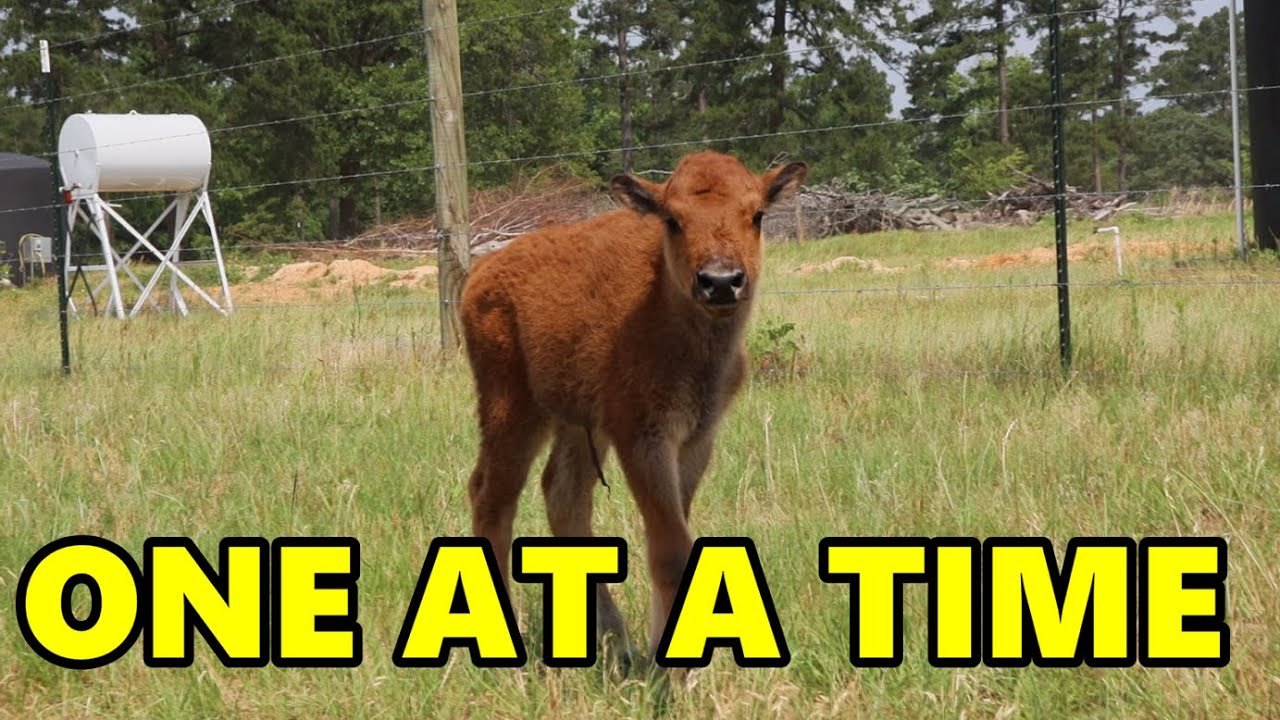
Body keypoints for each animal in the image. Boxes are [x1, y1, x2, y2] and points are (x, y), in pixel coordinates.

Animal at [459, 150, 807, 666]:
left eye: (757, 215)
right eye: (673, 220)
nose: (720, 281)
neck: (663, 305)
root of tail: (481, 273)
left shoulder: (696, 439)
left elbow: (675, 539)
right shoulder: (642, 438)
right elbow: (669, 550)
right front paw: (671, 675)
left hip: (576, 423)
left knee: (563, 495)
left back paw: (616, 640)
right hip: (512, 409)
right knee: (492, 496)